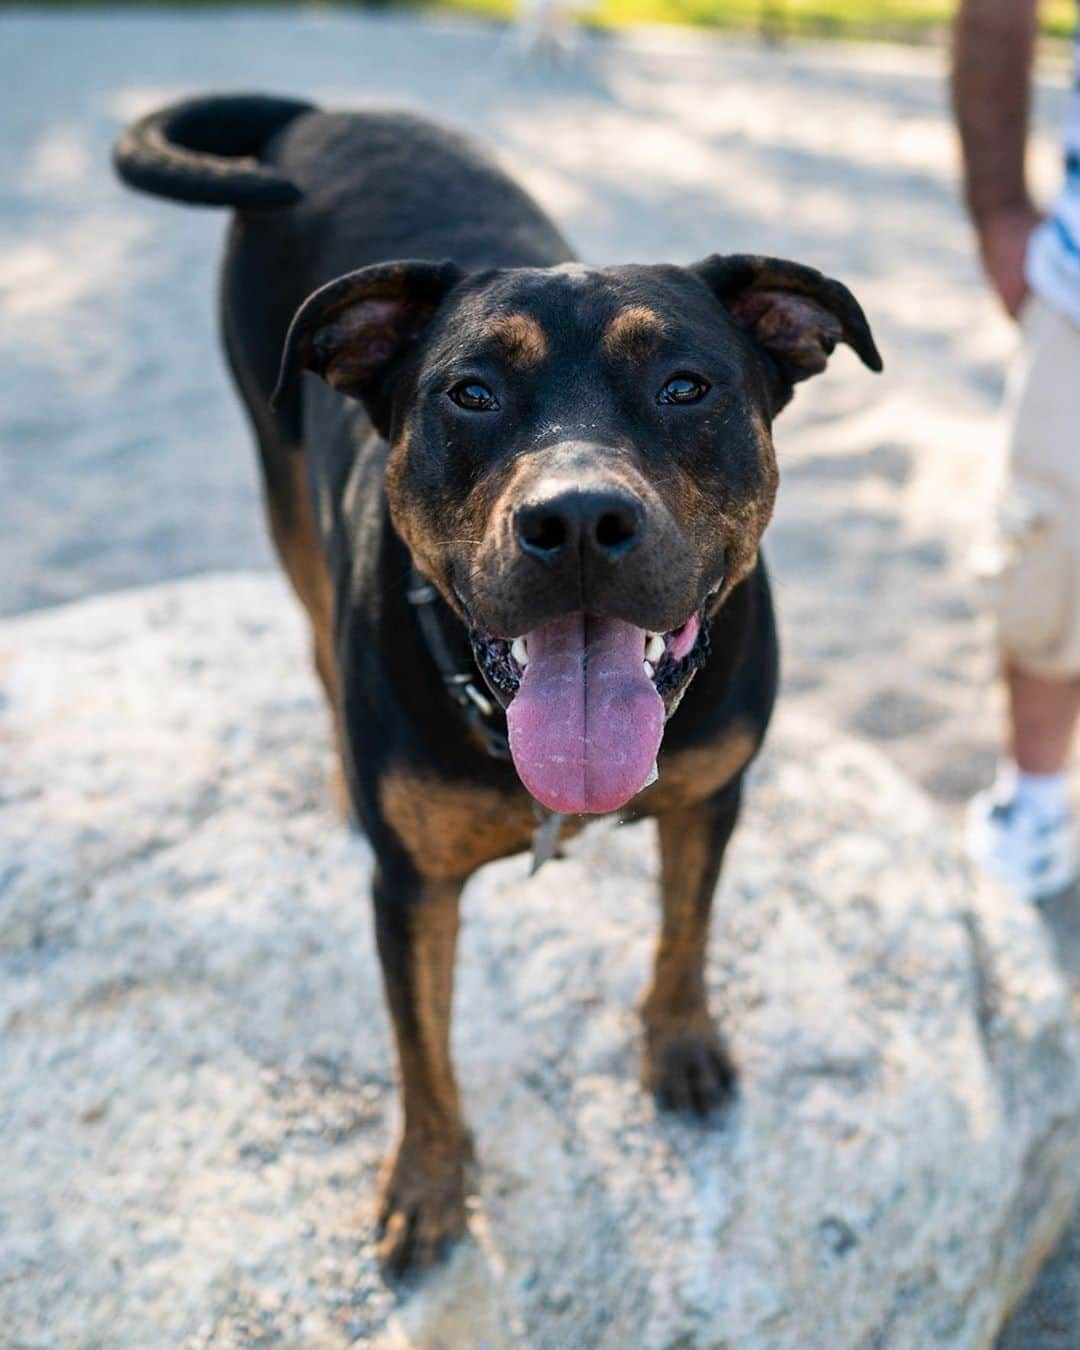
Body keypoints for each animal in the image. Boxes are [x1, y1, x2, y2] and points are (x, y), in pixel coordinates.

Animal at [114, 97, 880, 1274]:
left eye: (687, 386)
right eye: (470, 393)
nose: (578, 519)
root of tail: (319, 110)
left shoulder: (712, 794)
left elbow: (687, 928)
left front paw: (681, 1041)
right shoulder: (410, 889)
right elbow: (422, 1050)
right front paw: (429, 1184)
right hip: (275, 461)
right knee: (310, 628)